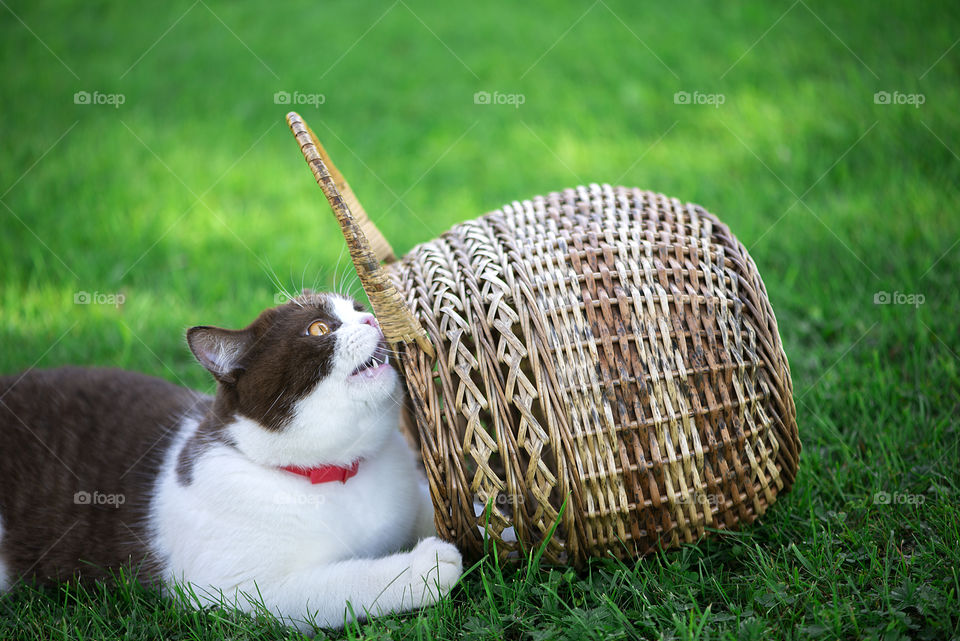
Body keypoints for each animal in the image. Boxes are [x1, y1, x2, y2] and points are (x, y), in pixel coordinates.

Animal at [0, 290, 462, 632]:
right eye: (318, 328)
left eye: (360, 307)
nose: (371, 321)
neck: (336, 473)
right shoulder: (235, 590)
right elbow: (339, 585)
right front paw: (425, 567)